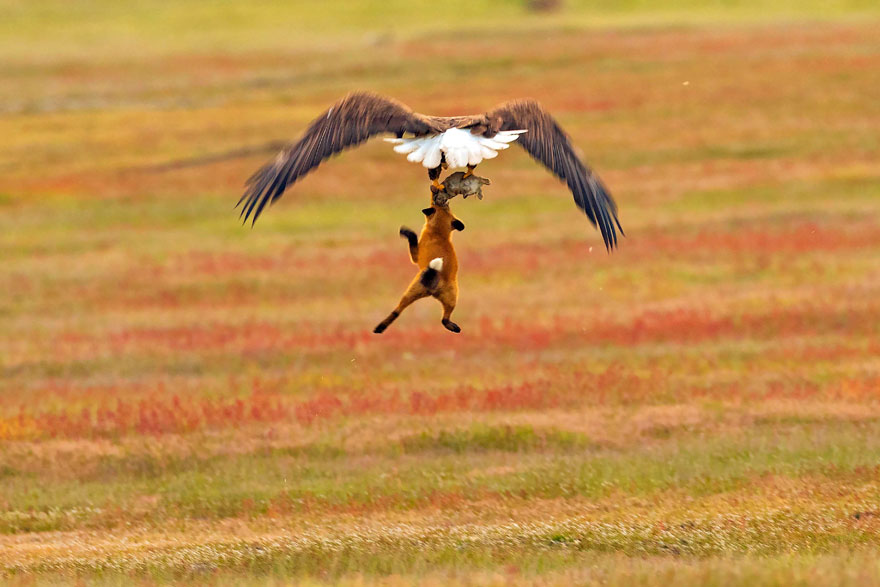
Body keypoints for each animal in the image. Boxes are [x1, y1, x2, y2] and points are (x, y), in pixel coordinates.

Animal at [373, 202, 465, 334]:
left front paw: (405, 231)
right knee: (442, 319)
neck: (438, 234)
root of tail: (433, 290)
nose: (444, 202)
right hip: (450, 298)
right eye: (448, 208)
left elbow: (413, 237)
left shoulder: (416, 256)